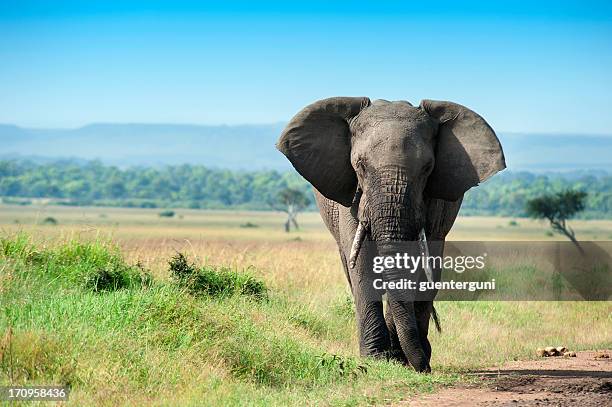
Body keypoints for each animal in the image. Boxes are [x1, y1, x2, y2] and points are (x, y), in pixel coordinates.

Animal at [274, 96, 504, 372]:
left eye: (427, 168)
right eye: (359, 166)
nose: (425, 370)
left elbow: (417, 263)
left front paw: (399, 359)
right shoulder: (351, 196)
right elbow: (361, 262)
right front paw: (376, 358)